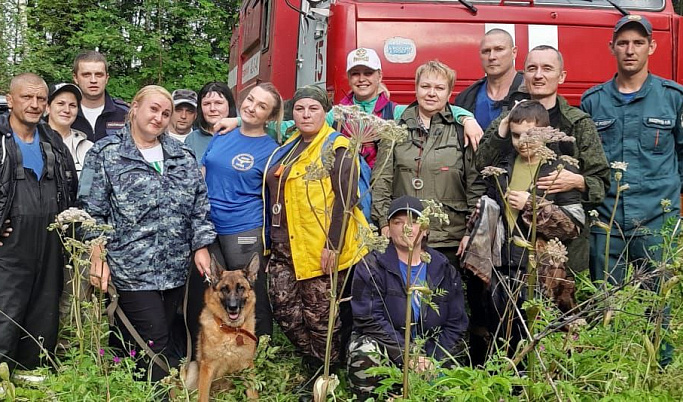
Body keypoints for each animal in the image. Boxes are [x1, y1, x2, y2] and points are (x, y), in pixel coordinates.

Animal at [183, 253, 260, 400]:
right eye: (224, 289)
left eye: (241, 288)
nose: (233, 307)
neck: (231, 331)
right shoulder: (207, 368)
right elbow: (203, 397)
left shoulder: (248, 365)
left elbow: (253, 395)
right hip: (192, 369)